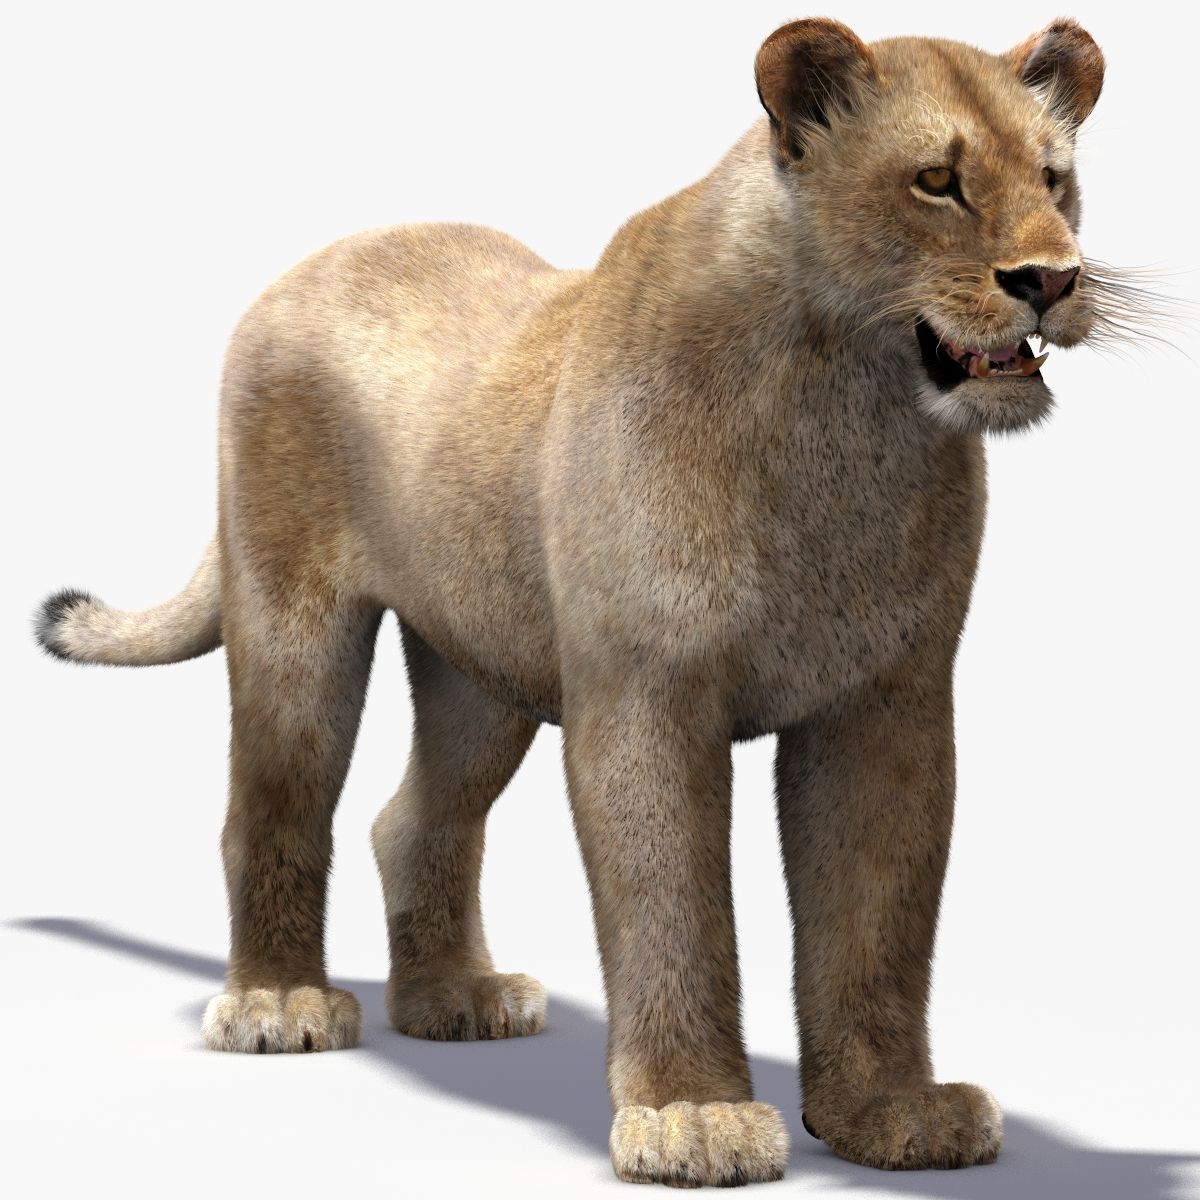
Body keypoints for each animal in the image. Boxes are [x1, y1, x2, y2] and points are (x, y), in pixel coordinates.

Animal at [36, 17, 1118, 1187]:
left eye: (1054, 178)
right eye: (936, 181)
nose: (1052, 278)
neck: (851, 417)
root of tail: (306, 266)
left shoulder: (888, 703)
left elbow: (878, 920)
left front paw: (892, 1114)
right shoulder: (646, 693)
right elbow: (672, 904)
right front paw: (694, 1118)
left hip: (479, 675)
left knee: (411, 817)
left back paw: (455, 1001)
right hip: (295, 624)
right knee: (274, 801)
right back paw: (279, 1004)